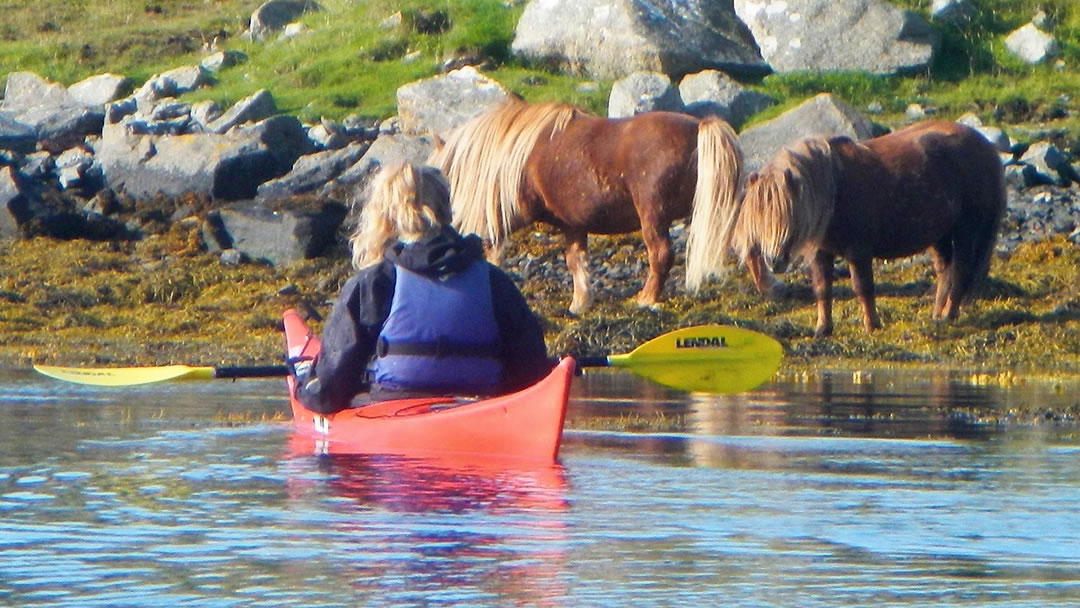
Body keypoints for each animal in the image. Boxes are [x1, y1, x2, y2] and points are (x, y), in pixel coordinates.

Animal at [425, 98, 773, 313]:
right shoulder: (573, 225)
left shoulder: (510, 215)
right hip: (714, 207)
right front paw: (580, 302)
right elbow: (575, 260)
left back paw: (646, 299)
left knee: (661, 253)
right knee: (747, 241)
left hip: (654, 214)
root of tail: (699, 126)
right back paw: (767, 288)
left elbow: (494, 248)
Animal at [725, 120, 1002, 336]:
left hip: (966, 229)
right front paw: (822, 328)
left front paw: (872, 325)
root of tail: (986, 148)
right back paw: (937, 315)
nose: (774, 260)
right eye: (758, 217)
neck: (834, 187)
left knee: (961, 270)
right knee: (946, 271)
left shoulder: (858, 251)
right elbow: (822, 289)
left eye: (790, 213)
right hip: (940, 235)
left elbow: (862, 287)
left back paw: (948, 315)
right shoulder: (820, 252)